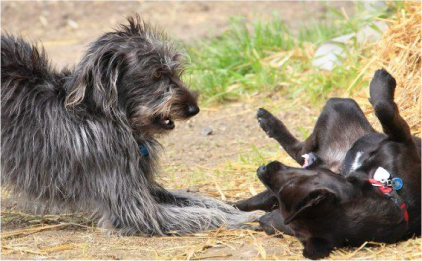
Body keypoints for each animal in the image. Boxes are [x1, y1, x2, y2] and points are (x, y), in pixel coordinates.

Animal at [0, 16, 258, 236]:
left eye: (174, 70)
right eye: (157, 74)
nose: (194, 109)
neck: (103, 114)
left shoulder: (144, 188)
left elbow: (202, 201)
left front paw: (235, 208)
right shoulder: (134, 209)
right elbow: (205, 216)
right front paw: (246, 218)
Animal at [236, 69, 422, 258]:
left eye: (289, 185)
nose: (262, 170)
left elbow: (383, 108)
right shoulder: (401, 138)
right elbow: (383, 108)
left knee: (300, 150)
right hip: (340, 105)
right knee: (300, 149)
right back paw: (268, 122)